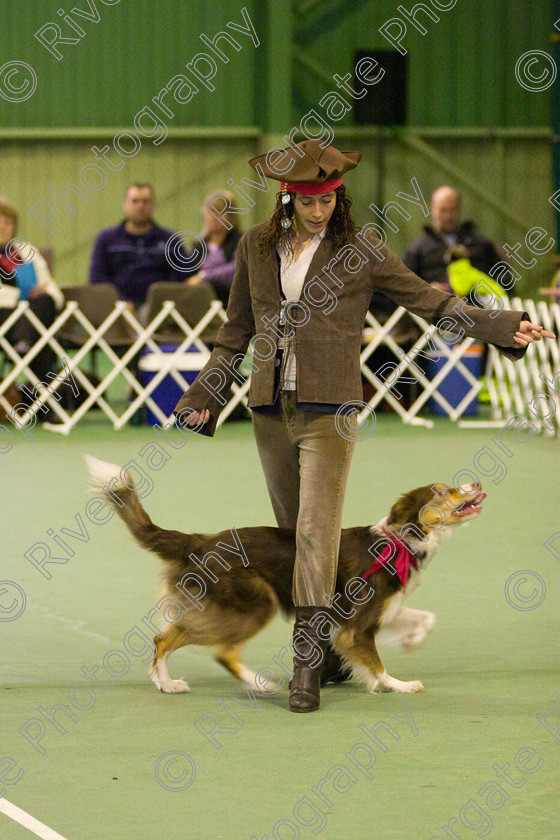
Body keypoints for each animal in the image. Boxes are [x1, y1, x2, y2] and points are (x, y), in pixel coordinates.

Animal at [84, 456, 486, 700]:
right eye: (445, 491)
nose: (477, 482)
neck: (401, 540)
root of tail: (202, 540)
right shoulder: (357, 626)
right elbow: (376, 663)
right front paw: (399, 684)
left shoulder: (378, 611)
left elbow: (425, 618)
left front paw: (412, 641)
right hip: (255, 603)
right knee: (216, 650)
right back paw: (262, 684)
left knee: (165, 637)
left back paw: (167, 684)